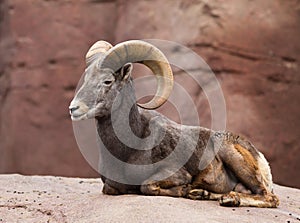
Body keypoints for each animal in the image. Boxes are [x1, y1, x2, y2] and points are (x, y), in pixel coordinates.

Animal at [69, 39, 280, 207]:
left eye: (107, 81)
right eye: (86, 78)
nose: (73, 108)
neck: (129, 149)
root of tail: (261, 157)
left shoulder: (173, 173)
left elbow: (147, 187)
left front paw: (186, 189)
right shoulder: (110, 186)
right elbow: (110, 188)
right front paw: (193, 191)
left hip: (233, 156)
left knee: (269, 197)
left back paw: (228, 199)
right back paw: (206, 194)